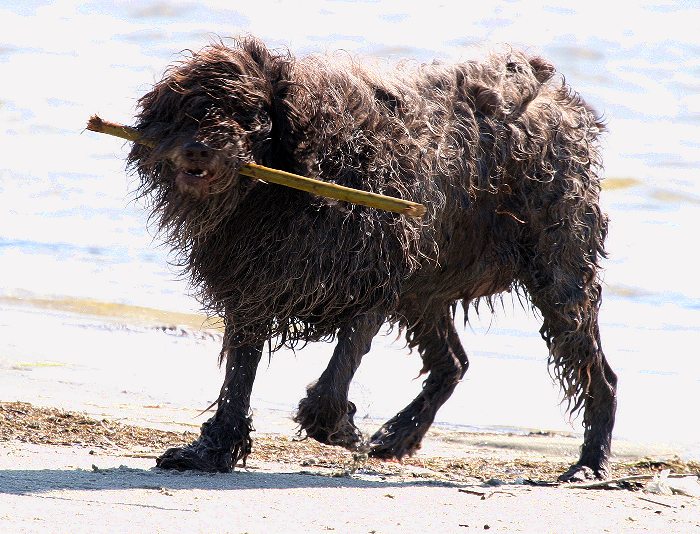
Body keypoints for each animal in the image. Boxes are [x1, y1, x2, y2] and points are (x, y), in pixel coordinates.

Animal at [129, 35, 616, 484]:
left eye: (246, 112)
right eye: (186, 112)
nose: (197, 149)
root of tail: (559, 99)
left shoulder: (373, 283)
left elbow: (331, 383)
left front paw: (338, 428)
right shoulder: (253, 289)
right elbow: (237, 380)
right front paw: (212, 451)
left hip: (560, 278)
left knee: (599, 376)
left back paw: (590, 463)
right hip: (424, 291)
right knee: (452, 363)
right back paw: (400, 434)